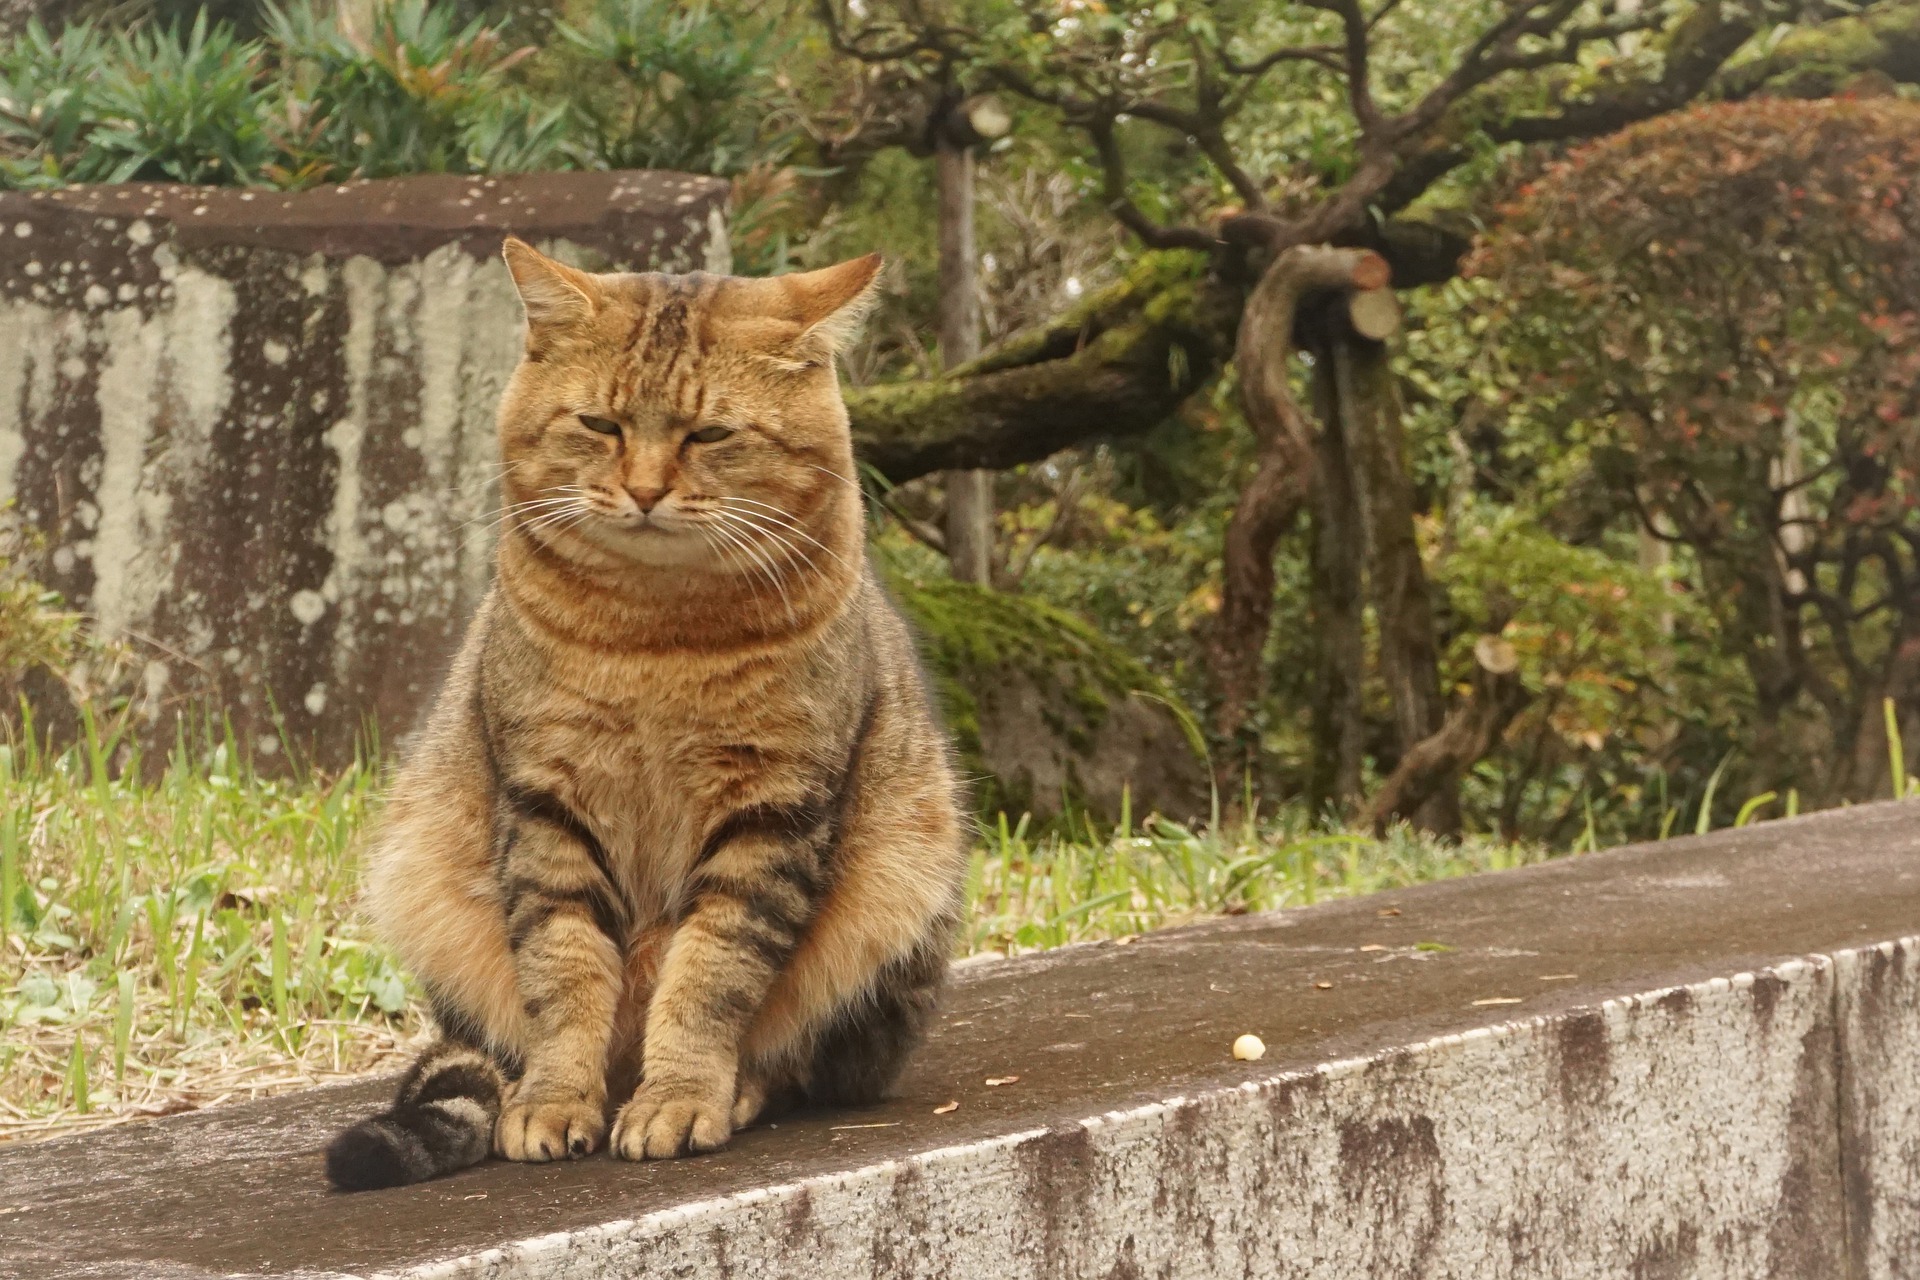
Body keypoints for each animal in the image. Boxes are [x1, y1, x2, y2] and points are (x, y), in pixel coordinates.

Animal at [324, 237, 975, 1189]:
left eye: (710, 434)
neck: (656, 636)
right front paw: (556, 1100)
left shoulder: (770, 812)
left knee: (801, 1062)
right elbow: (563, 973)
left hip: (900, 887)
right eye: (601, 425)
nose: (642, 490)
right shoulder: (547, 802)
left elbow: (708, 976)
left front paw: (680, 1095)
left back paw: (731, 1088)